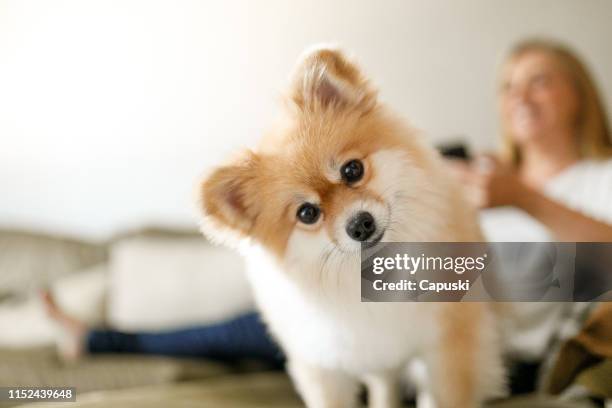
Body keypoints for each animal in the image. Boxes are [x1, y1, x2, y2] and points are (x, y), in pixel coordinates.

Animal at [198, 47, 504, 408]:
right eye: (307, 213)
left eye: (353, 170)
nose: (359, 225)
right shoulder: (327, 365)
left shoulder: (449, 341)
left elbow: (446, 396)